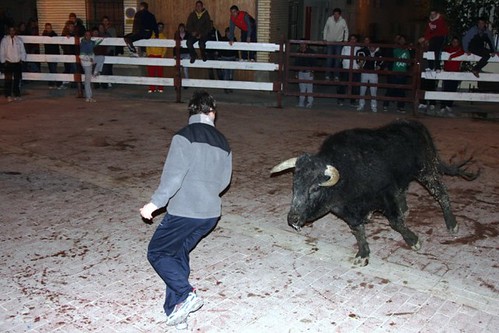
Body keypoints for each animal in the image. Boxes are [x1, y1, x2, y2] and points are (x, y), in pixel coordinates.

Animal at [272, 119, 478, 264]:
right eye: (295, 185)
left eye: (315, 188)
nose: (293, 219)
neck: (350, 173)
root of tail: (414, 124)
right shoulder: (348, 211)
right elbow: (358, 229)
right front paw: (363, 253)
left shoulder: (386, 195)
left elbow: (395, 222)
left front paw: (413, 240)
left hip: (427, 170)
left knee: (441, 194)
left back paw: (452, 224)